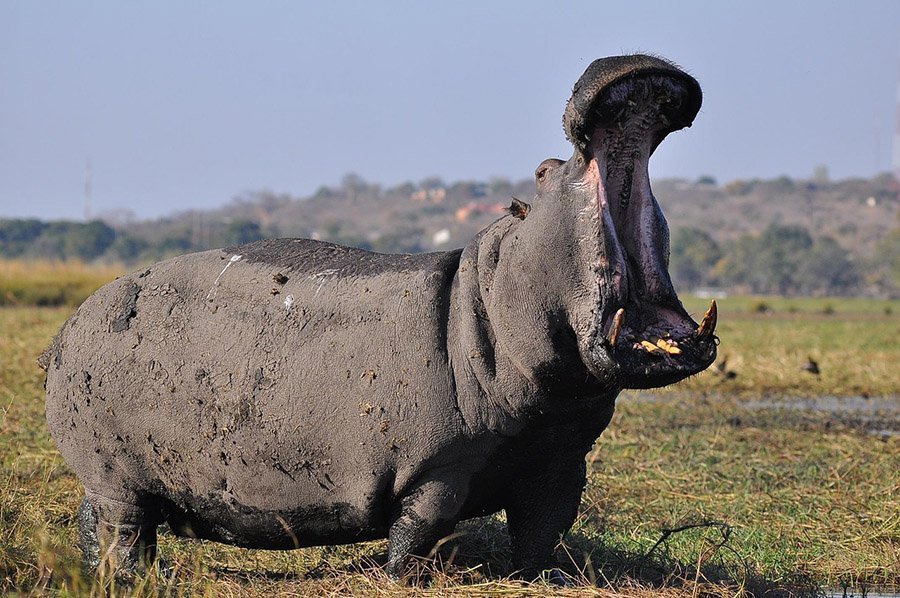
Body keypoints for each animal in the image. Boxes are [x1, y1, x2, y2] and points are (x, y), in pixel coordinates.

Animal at [42, 54, 717, 582]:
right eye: (544, 171)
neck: (494, 289)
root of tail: (67, 328)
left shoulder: (559, 460)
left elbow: (542, 531)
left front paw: (539, 578)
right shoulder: (438, 469)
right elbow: (418, 529)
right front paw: (402, 579)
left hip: (113, 479)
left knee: (96, 521)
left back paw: (98, 573)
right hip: (114, 471)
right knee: (124, 528)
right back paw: (127, 579)